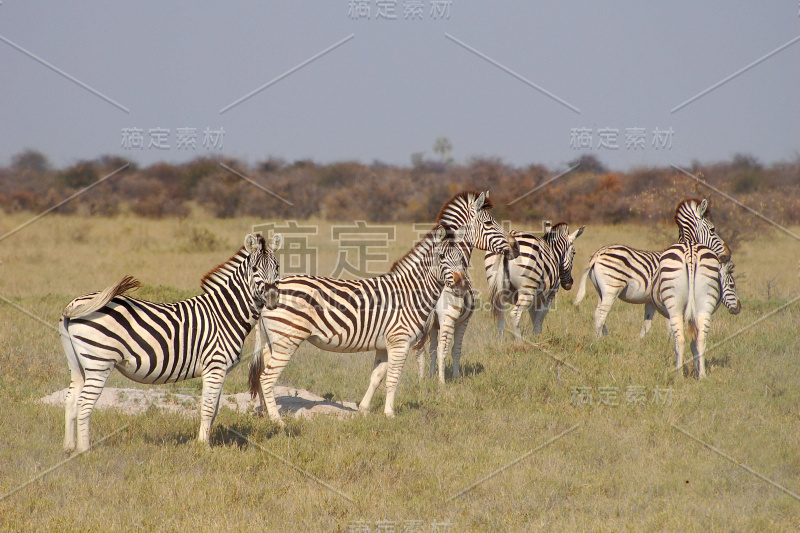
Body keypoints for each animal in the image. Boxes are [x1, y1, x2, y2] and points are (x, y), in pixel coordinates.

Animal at [58, 233, 282, 454]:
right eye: (255, 269)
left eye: (277, 267)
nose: (272, 299)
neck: (224, 313)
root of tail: (74, 304)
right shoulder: (215, 366)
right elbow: (208, 408)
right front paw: (204, 447)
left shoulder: (220, 370)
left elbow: (214, 408)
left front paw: (205, 442)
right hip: (99, 361)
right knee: (84, 403)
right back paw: (85, 450)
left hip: (77, 363)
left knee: (71, 400)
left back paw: (69, 447)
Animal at [252, 224, 468, 424]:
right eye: (442, 256)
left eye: (462, 258)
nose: (461, 285)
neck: (409, 294)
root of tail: (269, 292)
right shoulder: (399, 341)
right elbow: (393, 379)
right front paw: (390, 414)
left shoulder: (384, 345)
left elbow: (376, 377)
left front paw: (363, 410)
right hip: (287, 340)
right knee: (267, 378)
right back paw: (277, 421)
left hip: (274, 340)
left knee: (262, 374)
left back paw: (263, 412)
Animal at [412, 189, 520, 384]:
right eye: (488, 223)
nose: (516, 247)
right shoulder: (462, 321)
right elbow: (456, 349)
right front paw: (453, 378)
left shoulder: (433, 324)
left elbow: (431, 350)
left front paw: (429, 377)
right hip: (449, 318)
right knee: (443, 348)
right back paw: (442, 384)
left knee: (421, 350)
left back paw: (421, 381)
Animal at [576, 197, 732, 338]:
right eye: (712, 229)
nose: (728, 253)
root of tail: (598, 254)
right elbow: (670, 324)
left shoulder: (652, 300)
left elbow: (648, 324)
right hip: (612, 288)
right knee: (601, 314)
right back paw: (598, 341)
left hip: (601, 290)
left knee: (597, 313)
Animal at [652, 243, 740, 376]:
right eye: (732, 285)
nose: (738, 308)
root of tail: (690, 251)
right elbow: (693, 344)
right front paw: (695, 370)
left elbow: (684, 344)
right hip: (704, 306)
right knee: (701, 340)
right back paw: (701, 375)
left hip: (675, 308)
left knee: (680, 340)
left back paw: (679, 374)